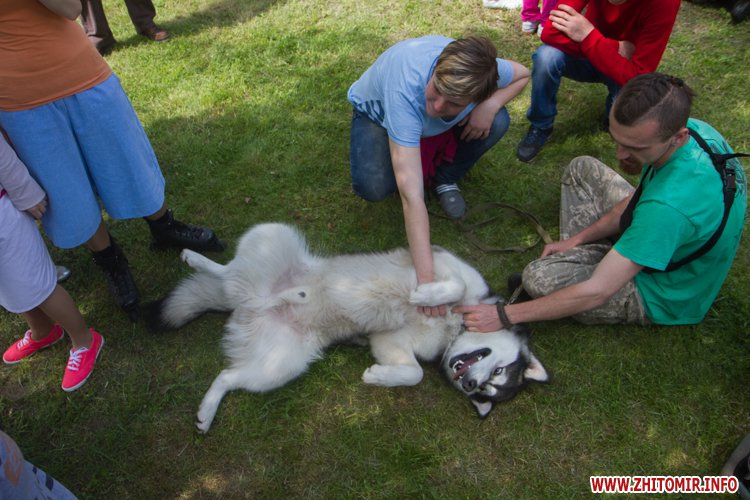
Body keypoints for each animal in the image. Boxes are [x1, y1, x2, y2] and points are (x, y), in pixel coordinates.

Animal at [148, 223, 548, 432]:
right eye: (496, 372)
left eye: (487, 390)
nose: (469, 383)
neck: (453, 328)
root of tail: (253, 302)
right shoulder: (438, 261)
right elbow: (454, 285)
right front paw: (425, 294)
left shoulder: (389, 342)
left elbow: (414, 373)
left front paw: (379, 377)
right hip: (275, 234)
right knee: (229, 269)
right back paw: (196, 257)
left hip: (278, 367)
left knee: (227, 376)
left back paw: (206, 413)